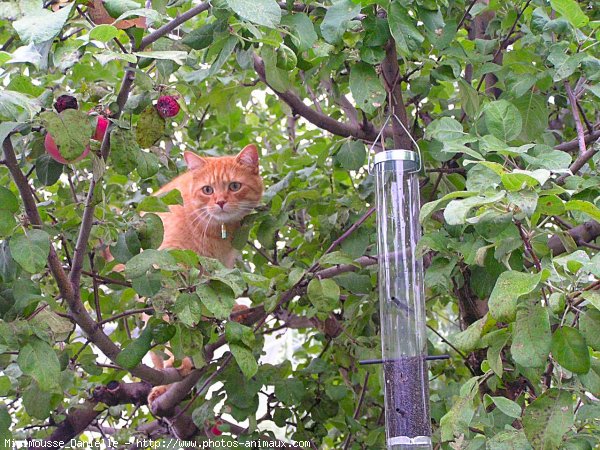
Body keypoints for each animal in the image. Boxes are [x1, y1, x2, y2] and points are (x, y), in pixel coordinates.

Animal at [146, 144, 262, 408]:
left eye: (234, 186)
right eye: (207, 190)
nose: (220, 202)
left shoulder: (219, 268)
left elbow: (217, 298)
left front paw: (232, 312)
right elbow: (175, 328)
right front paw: (181, 361)